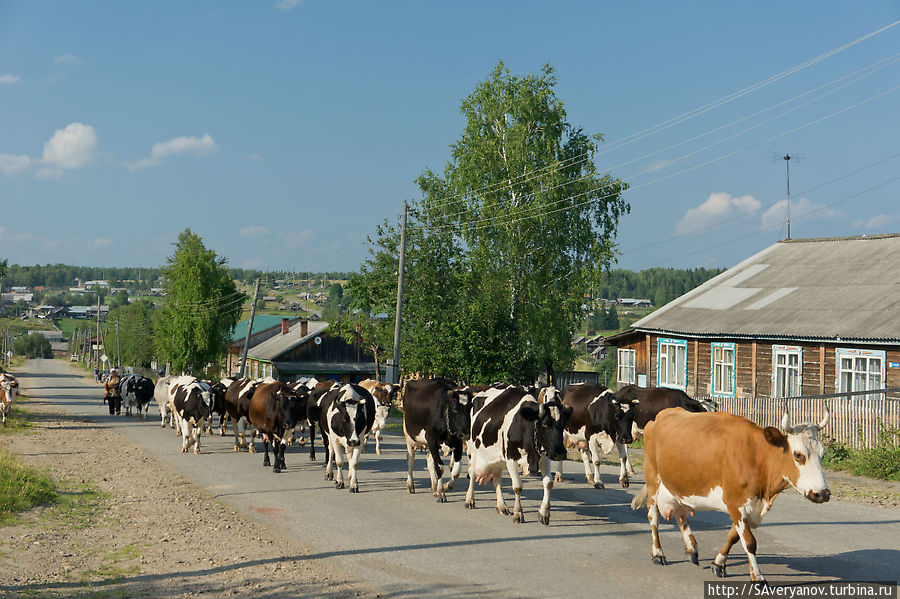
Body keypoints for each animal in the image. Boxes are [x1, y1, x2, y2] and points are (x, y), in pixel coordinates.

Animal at [632, 408, 828, 580]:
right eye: (798, 455)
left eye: (823, 454)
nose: (823, 493)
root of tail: (659, 417)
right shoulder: (735, 502)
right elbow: (749, 542)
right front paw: (757, 576)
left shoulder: (746, 506)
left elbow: (733, 536)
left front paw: (718, 563)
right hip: (653, 479)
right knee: (653, 517)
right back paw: (658, 554)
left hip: (677, 487)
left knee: (681, 515)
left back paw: (691, 548)